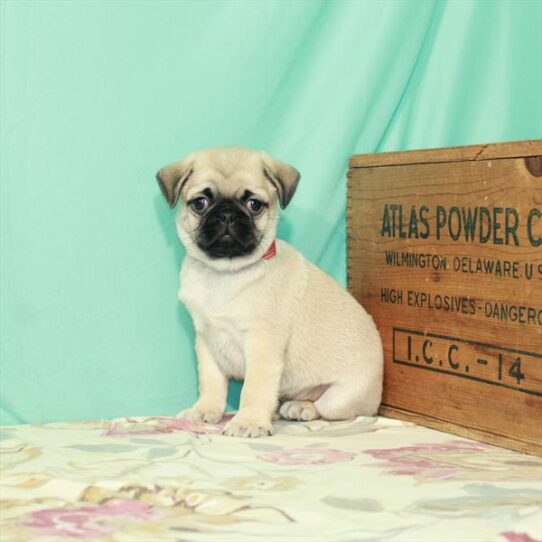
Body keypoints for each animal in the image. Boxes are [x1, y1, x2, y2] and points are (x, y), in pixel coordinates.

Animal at [157, 148, 384, 438]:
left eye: (254, 204)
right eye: (200, 203)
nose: (227, 214)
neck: (224, 273)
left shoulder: (263, 344)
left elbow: (254, 389)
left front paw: (248, 421)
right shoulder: (207, 342)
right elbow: (211, 381)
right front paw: (205, 409)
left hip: (343, 397)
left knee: (328, 409)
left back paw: (302, 408)